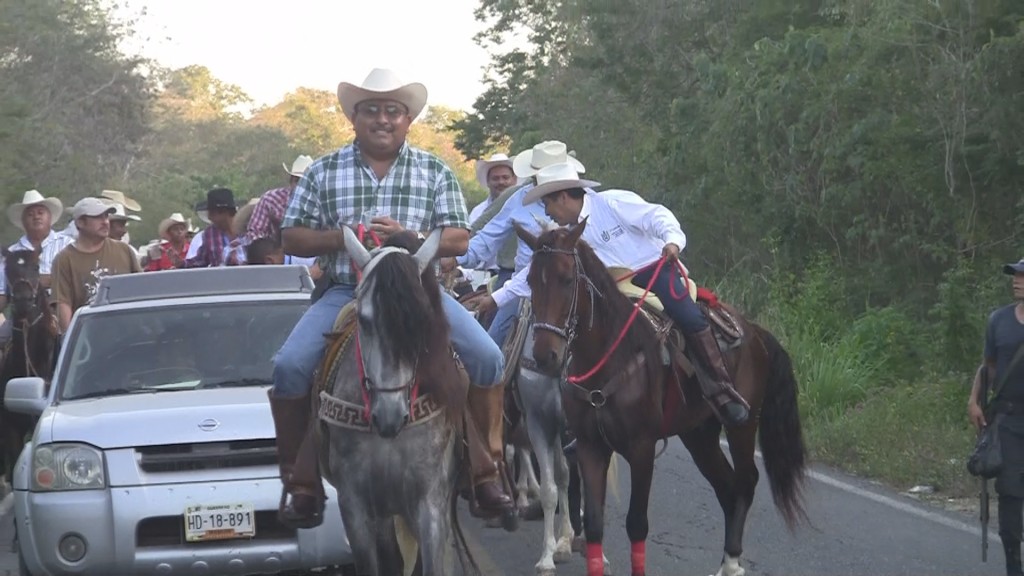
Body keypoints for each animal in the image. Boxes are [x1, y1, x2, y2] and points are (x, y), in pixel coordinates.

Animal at [516, 222, 802, 573]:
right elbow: (595, 525)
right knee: (727, 487)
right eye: (531, 280)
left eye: (567, 279)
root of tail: (754, 331)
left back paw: (733, 563)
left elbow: (637, 524)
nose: (546, 355)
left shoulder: (641, 449)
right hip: (699, 435)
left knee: (746, 481)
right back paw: (725, 563)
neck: (611, 356)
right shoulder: (589, 446)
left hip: (743, 426)